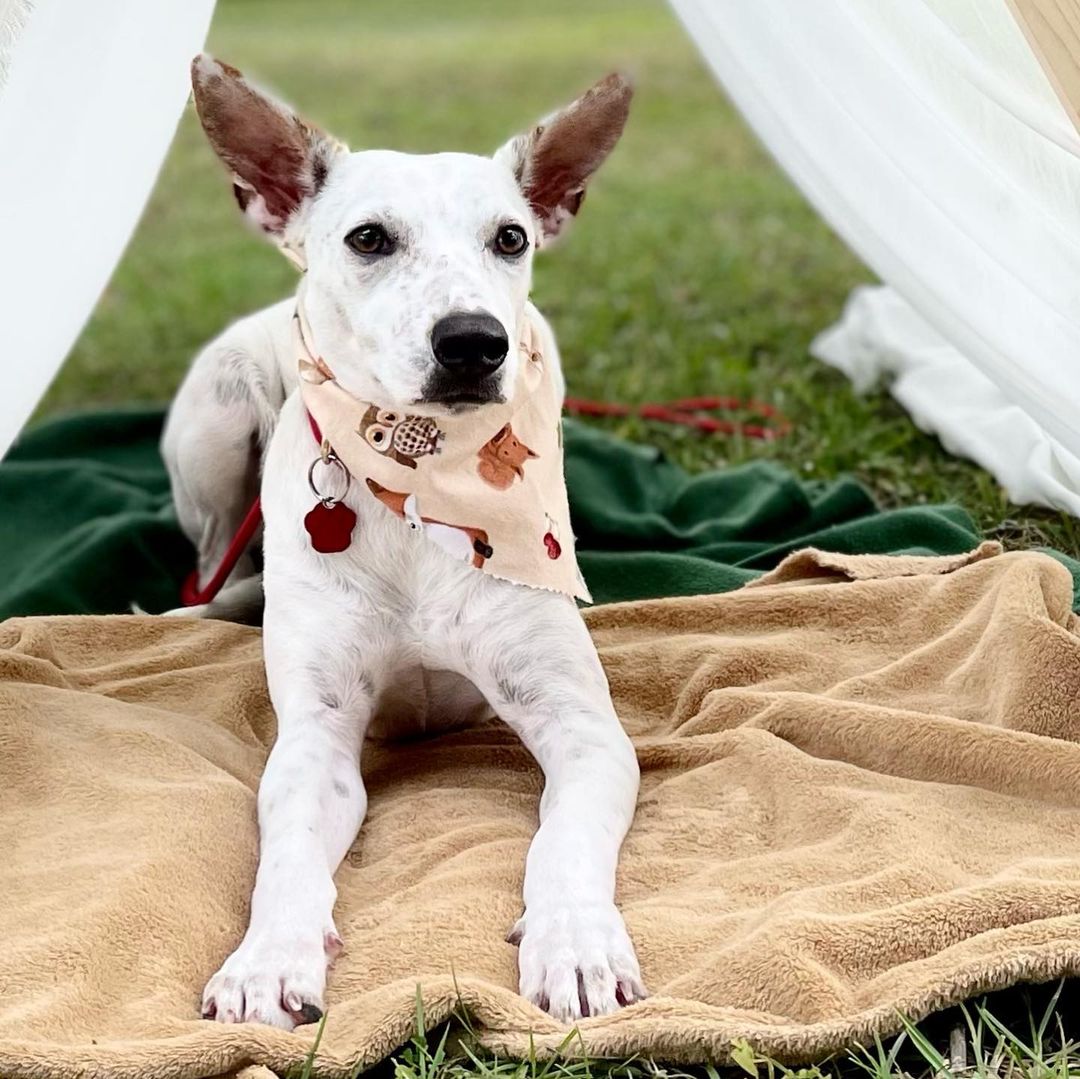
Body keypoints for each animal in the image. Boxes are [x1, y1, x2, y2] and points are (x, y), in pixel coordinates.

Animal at [164, 56, 643, 1028]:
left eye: (510, 237)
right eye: (370, 238)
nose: (474, 342)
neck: (423, 479)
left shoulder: (582, 726)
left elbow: (563, 841)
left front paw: (574, 941)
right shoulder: (314, 738)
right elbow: (285, 857)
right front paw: (266, 959)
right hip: (217, 420)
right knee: (210, 565)